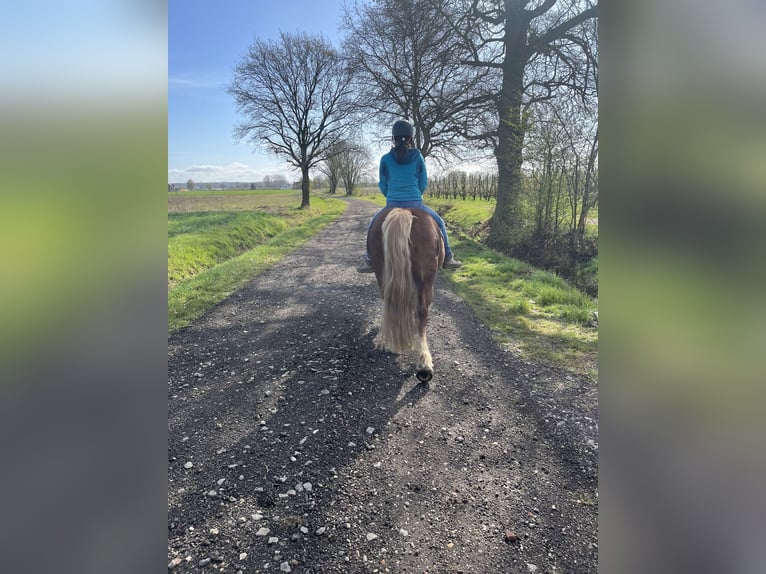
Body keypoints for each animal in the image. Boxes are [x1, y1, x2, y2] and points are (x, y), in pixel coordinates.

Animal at [367, 207, 445, 382]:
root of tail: (403, 212)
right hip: (426, 279)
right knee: (422, 312)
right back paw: (424, 364)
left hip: (381, 272)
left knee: (388, 304)